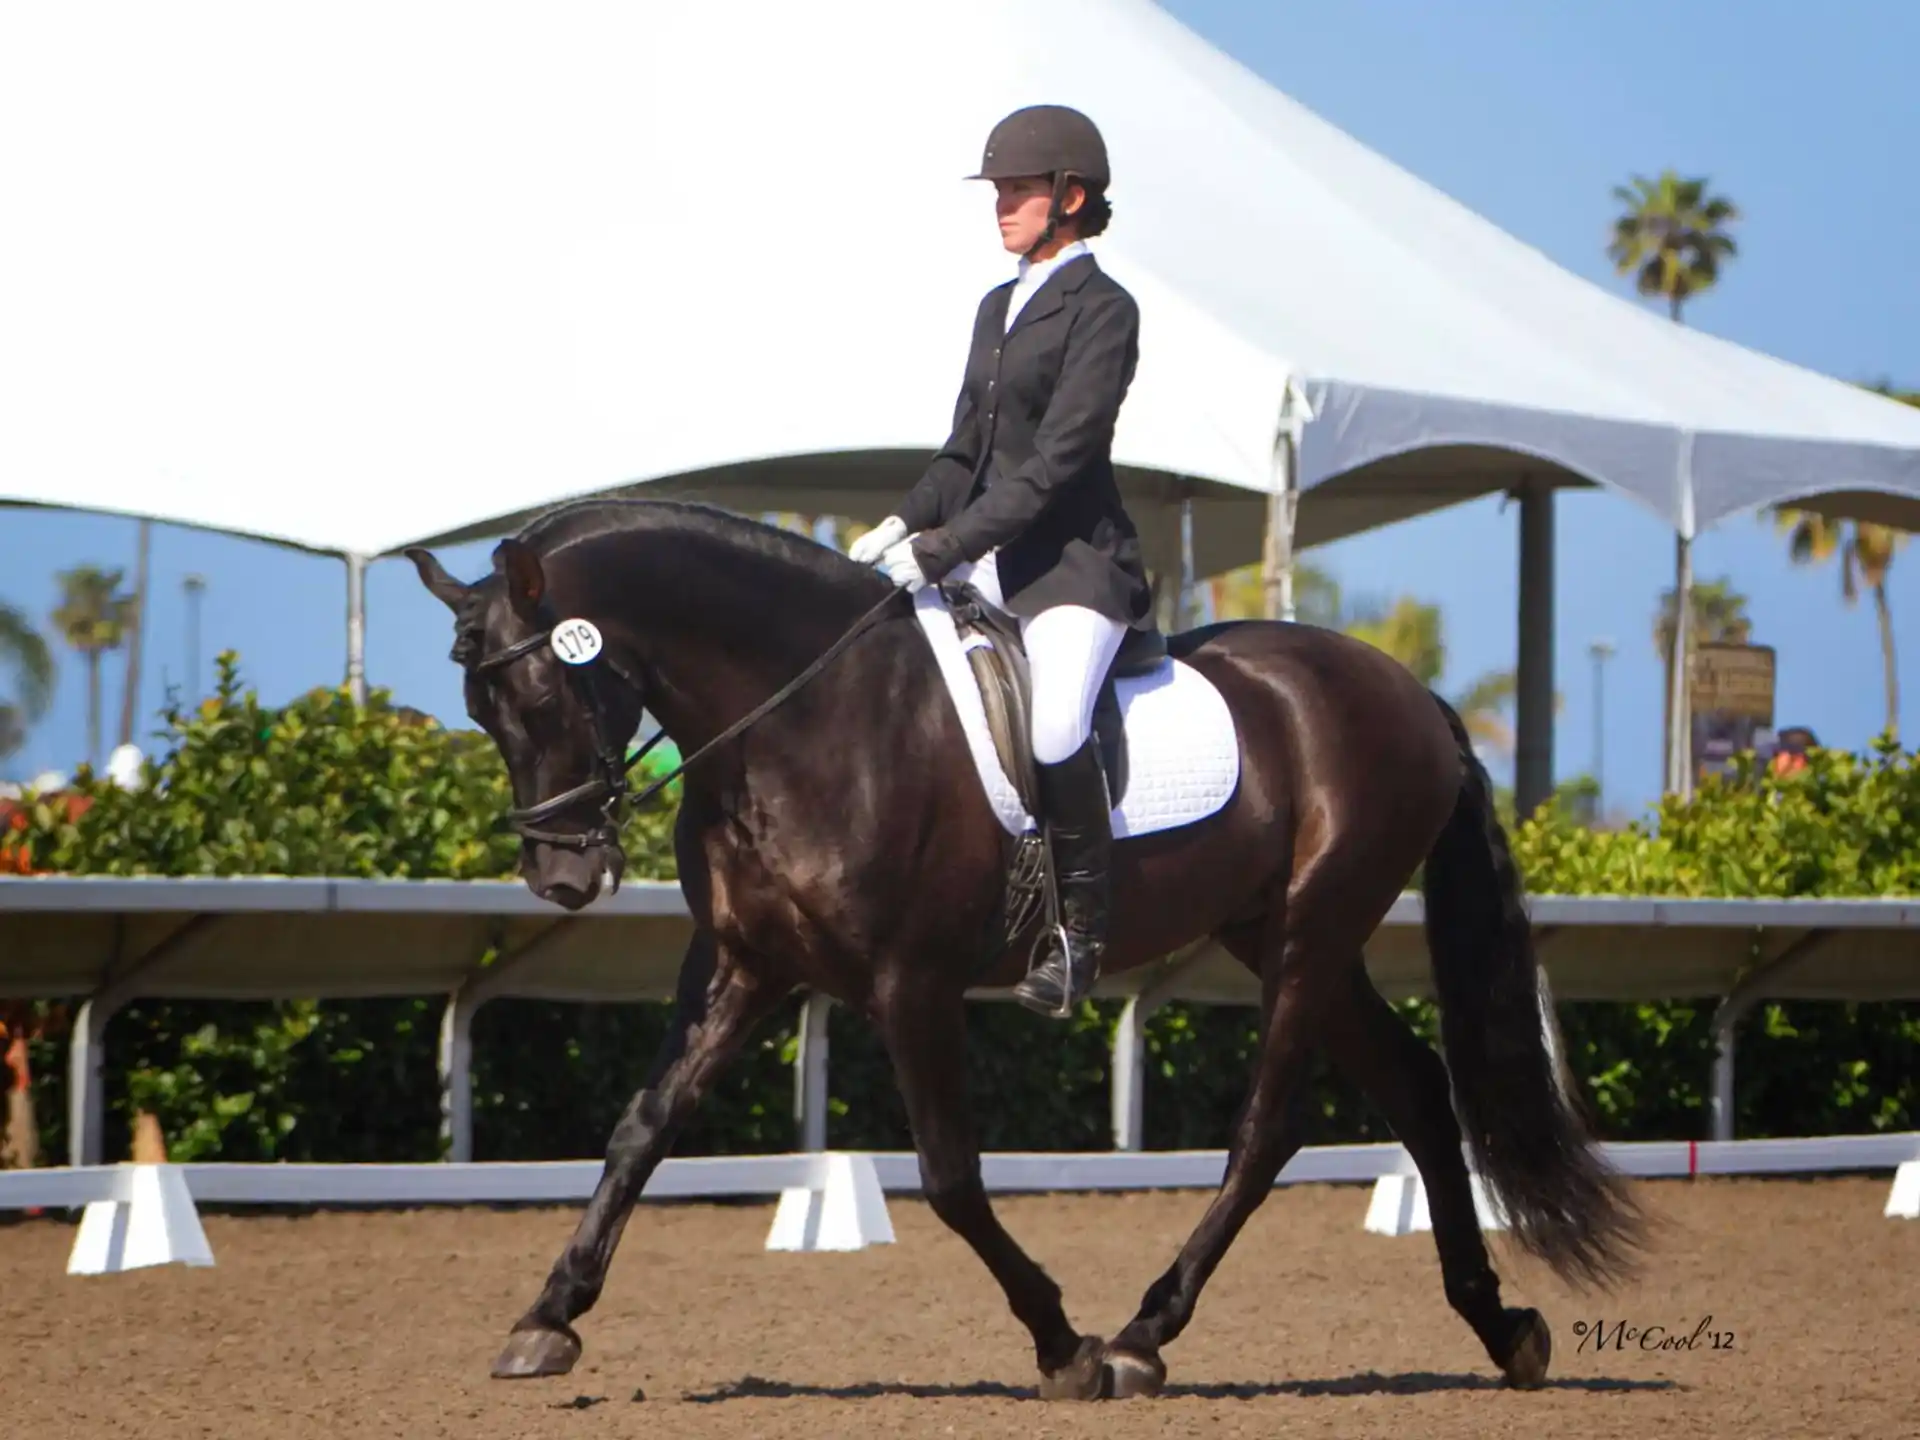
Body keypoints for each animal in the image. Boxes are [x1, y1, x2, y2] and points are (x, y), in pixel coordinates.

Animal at [406, 496, 1642, 1401]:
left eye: (543, 689)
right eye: (479, 710)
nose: (563, 878)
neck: (804, 718)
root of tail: (1413, 694)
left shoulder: (911, 984)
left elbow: (951, 1178)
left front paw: (1065, 1346)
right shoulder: (744, 969)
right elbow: (641, 1129)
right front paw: (546, 1319)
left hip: (1310, 933)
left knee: (1265, 1135)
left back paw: (1143, 1336)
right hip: (1289, 938)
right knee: (1422, 1093)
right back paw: (1502, 1327)